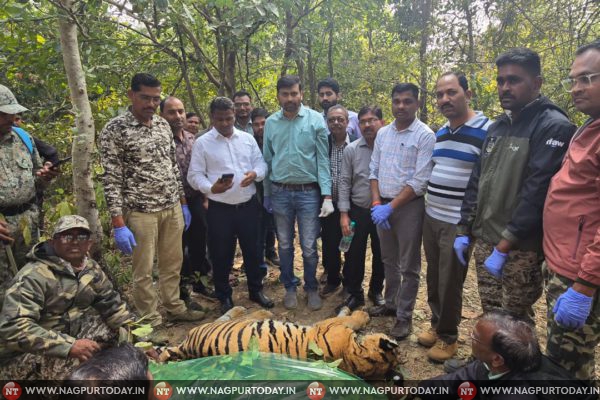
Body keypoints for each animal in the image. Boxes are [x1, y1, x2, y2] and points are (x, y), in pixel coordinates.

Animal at [158, 304, 404, 380]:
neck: (352, 356)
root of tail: (188, 349)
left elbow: (350, 318)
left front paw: (358, 312)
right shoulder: (330, 324)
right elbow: (350, 318)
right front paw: (360, 312)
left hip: (217, 327)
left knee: (230, 317)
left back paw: (252, 310)